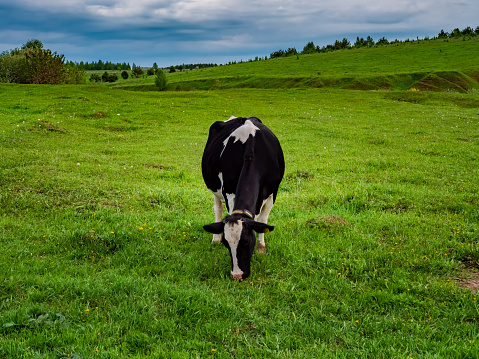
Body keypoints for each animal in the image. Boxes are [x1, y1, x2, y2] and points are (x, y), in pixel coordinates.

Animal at [202, 116, 284, 282]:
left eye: (246, 242)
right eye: (226, 244)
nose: (237, 275)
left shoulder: (273, 192)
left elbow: (262, 220)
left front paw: (261, 248)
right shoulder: (228, 192)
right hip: (214, 189)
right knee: (217, 208)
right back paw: (214, 238)